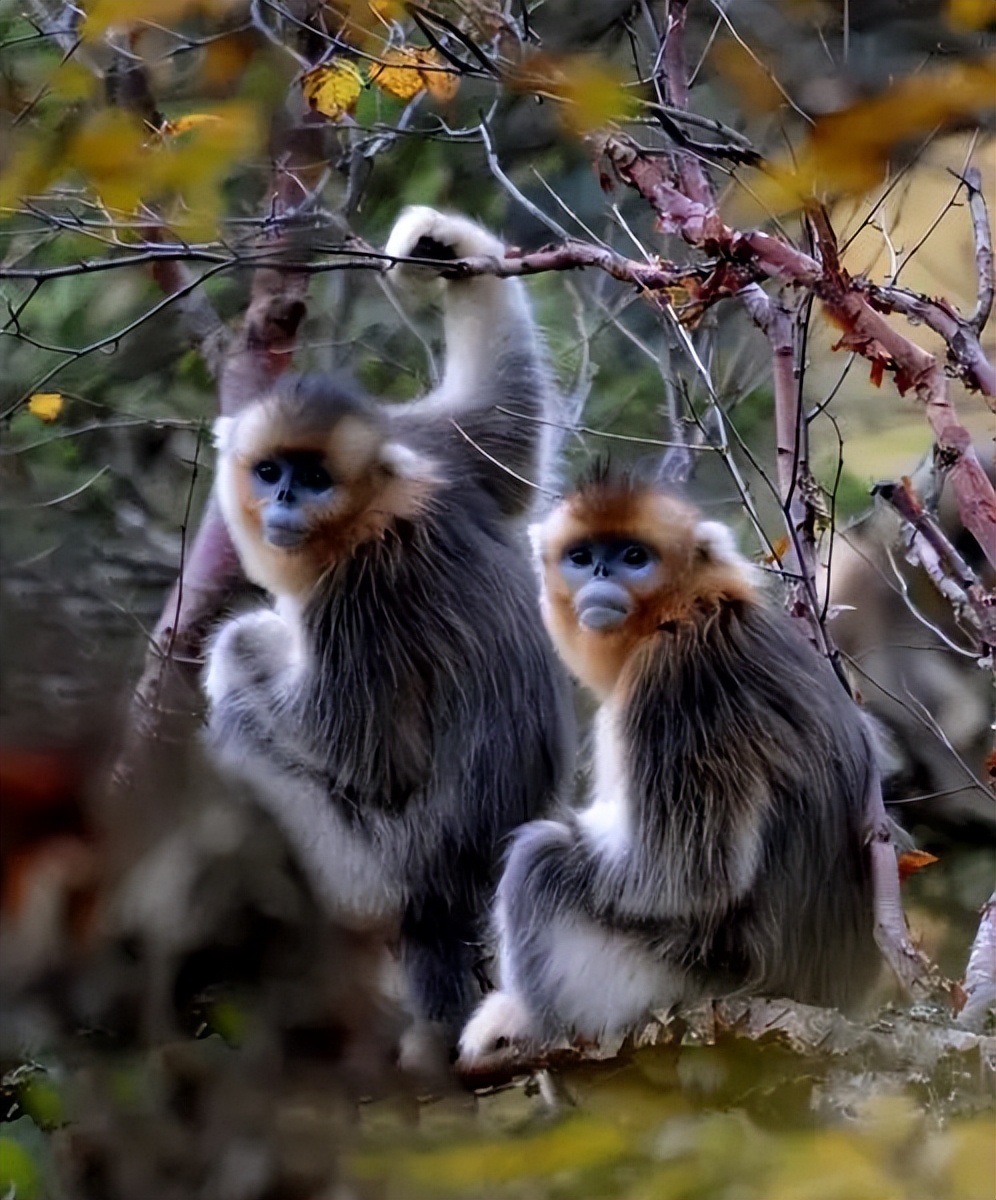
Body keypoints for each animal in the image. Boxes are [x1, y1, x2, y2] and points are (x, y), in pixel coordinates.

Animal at [204, 211, 576, 1056]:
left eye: (313, 479)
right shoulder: (431, 448)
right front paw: (444, 248)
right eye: (271, 471)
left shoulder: (356, 596)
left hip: (363, 875)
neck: (376, 508)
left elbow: (360, 748)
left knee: (245, 725)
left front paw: (242, 642)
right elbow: (507, 429)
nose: (284, 505)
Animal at [460, 468, 883, 1060]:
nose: (601, 572)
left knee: (539, 859)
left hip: (667, 976)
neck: (688, 608)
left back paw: (524, 1020)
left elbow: (684, 876)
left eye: (634, 556)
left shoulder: (676, 684)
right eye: (581, 555)